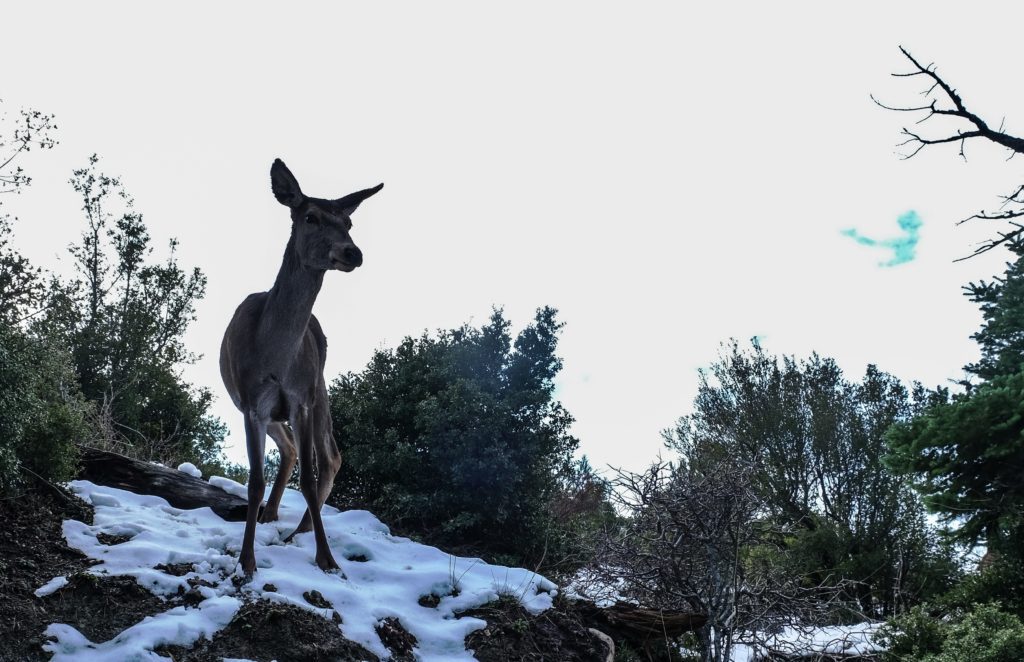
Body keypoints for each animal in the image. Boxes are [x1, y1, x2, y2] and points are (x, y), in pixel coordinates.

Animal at [220, 159, 385, 573]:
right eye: (310, 216)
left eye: (349, 222)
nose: (352, 252)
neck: (274, 358)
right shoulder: (254, 403)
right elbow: (254, 481)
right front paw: (246, 561)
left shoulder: (301, 398)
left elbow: (308, 480)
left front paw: (327, 559)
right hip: (269, 406)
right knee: (292, 449)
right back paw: (272, 516)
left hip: (320, 387)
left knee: (328, 457)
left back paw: (300, 529)